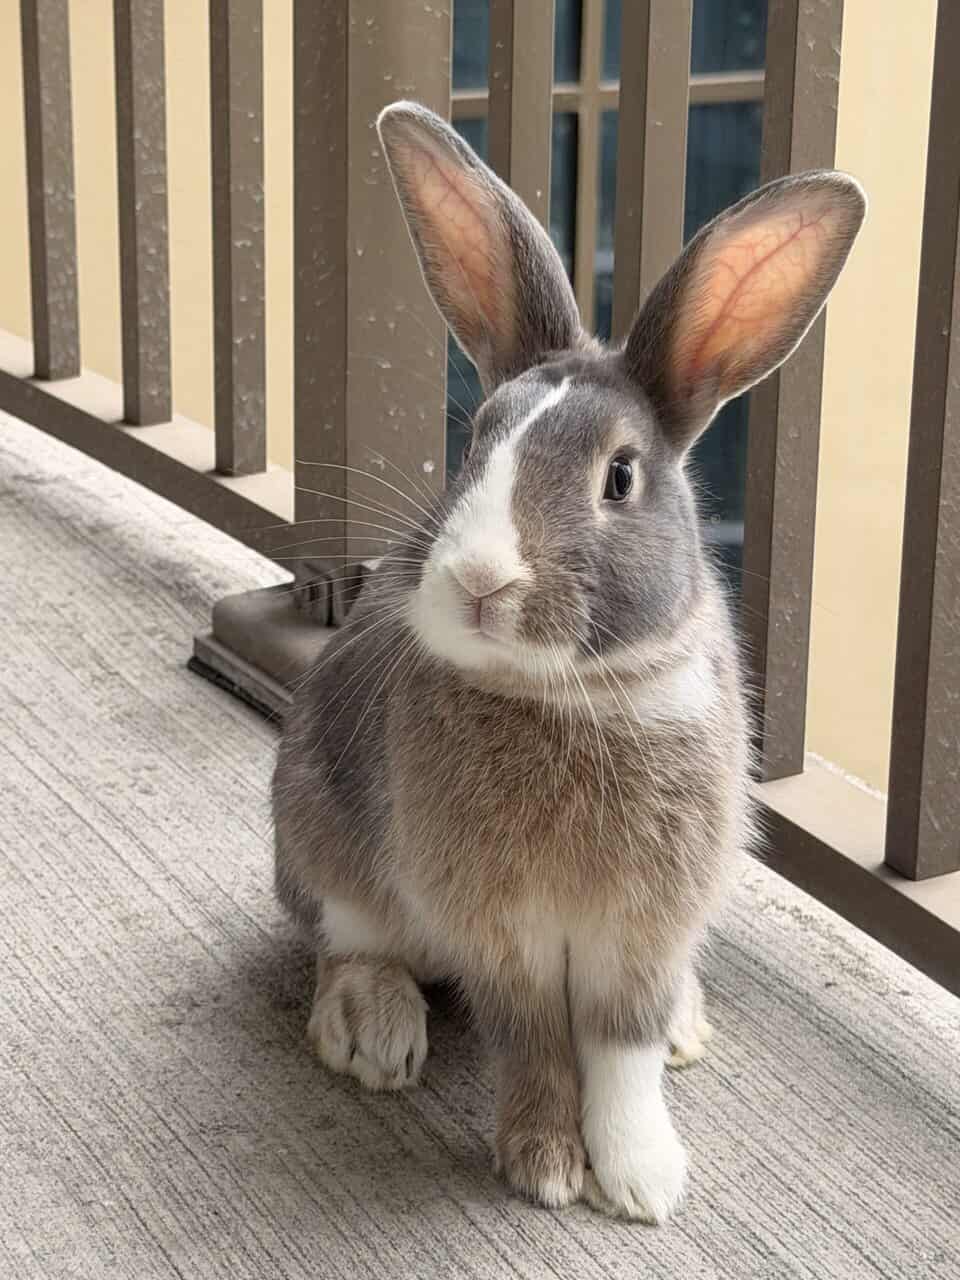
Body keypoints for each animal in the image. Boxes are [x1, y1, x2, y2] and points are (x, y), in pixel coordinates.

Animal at [272, 100, 865, 1222]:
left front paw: (643, 1177)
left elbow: (621, 1047)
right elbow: (536, 1039)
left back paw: (686, 1026)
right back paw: (372, 1029)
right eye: (474, 443)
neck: (580, 694)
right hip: (320, 836)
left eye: (620, 476)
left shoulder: (646, 926)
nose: (478, 579)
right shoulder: (501, 930)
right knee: (347, 936)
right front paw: (547, 1164)